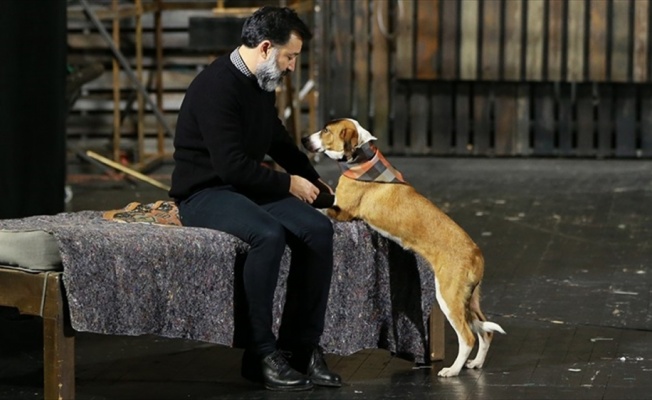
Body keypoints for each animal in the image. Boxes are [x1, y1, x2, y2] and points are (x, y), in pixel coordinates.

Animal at [304, 117, 506, 376]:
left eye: (326, 130)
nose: (303, 140)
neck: (363, 159)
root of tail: (476, 253)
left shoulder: (341, 213)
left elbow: (317, 207)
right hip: (468, 299)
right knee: (485, 331)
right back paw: (477, 363)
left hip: (449, 296)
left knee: (468, 337)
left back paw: (452, 370)